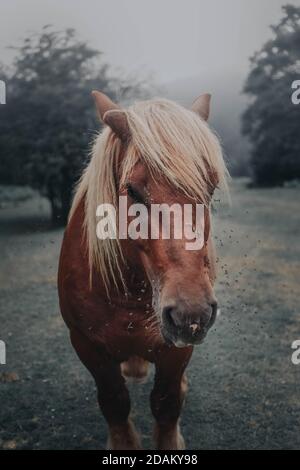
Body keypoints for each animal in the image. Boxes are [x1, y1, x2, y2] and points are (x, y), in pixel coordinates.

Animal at [58, 90, 227, 450]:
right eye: (132, 190)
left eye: (209, 188)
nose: (191, 311)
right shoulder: (86, 345)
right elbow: (114, 402)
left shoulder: (176, 350)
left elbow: (166, 403)